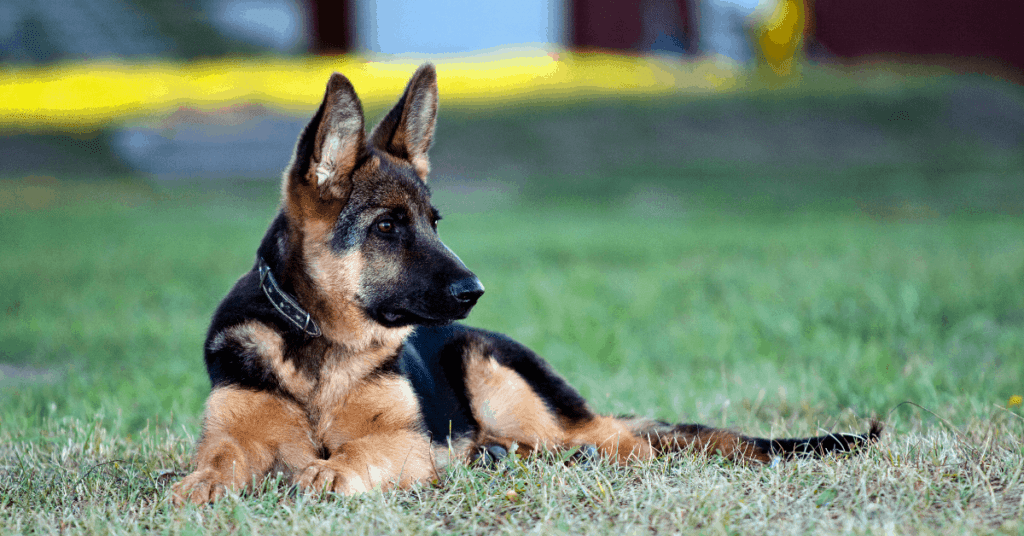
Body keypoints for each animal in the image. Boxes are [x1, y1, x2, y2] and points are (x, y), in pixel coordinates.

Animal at [172, 65, 876, 506]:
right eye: (388, 227)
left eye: (433, 222)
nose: (474, 290)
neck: (319, 342)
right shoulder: (234, 433)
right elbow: (221, 457)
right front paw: (199, 485)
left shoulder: (406, 443)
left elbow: (360, 455)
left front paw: (327, 471)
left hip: (496, 375)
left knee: (625, 443)